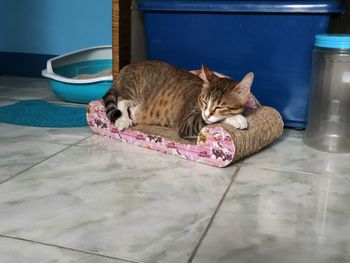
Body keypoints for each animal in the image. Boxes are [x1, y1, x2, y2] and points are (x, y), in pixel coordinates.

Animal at [102, 60, 253, 139]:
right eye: (204, 101)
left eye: (220, 106)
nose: (206, 113)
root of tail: (127, 67)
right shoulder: (188, 122)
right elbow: (207, 120)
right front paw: (237, 118)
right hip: (136, 87)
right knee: (122, 100)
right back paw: (123, 119)